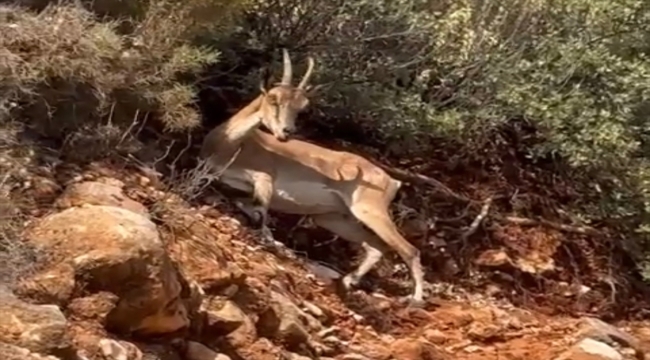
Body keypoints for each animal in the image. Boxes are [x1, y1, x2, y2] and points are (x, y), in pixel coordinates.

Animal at [201, 49, 426, 306]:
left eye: (301, 107)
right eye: (273, 99)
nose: (286, 132)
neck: (231, 144)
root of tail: (391, 181)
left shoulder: (265, 179)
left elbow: (262, 212)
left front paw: (268, 240)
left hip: (370, 211)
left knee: (409, 250)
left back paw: (416, 299)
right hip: (333, 218)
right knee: (376, 247)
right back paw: (348, 281)